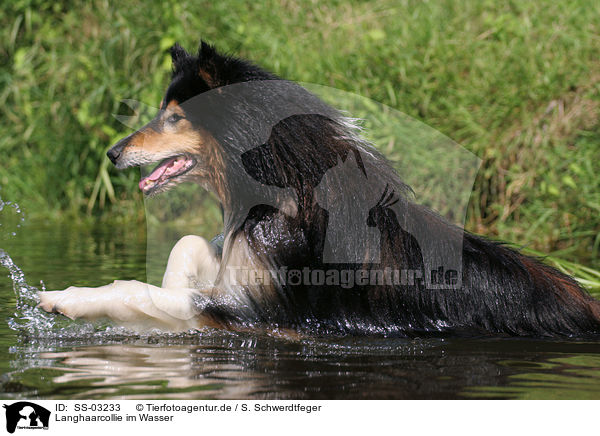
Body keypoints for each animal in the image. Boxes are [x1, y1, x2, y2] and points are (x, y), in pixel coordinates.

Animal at [37, 41, 600, 338]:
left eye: (174, 117)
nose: (113, 153)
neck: (280, 184)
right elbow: (188, 246)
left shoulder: (254, 313)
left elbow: (139, 292)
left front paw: (65, 297)